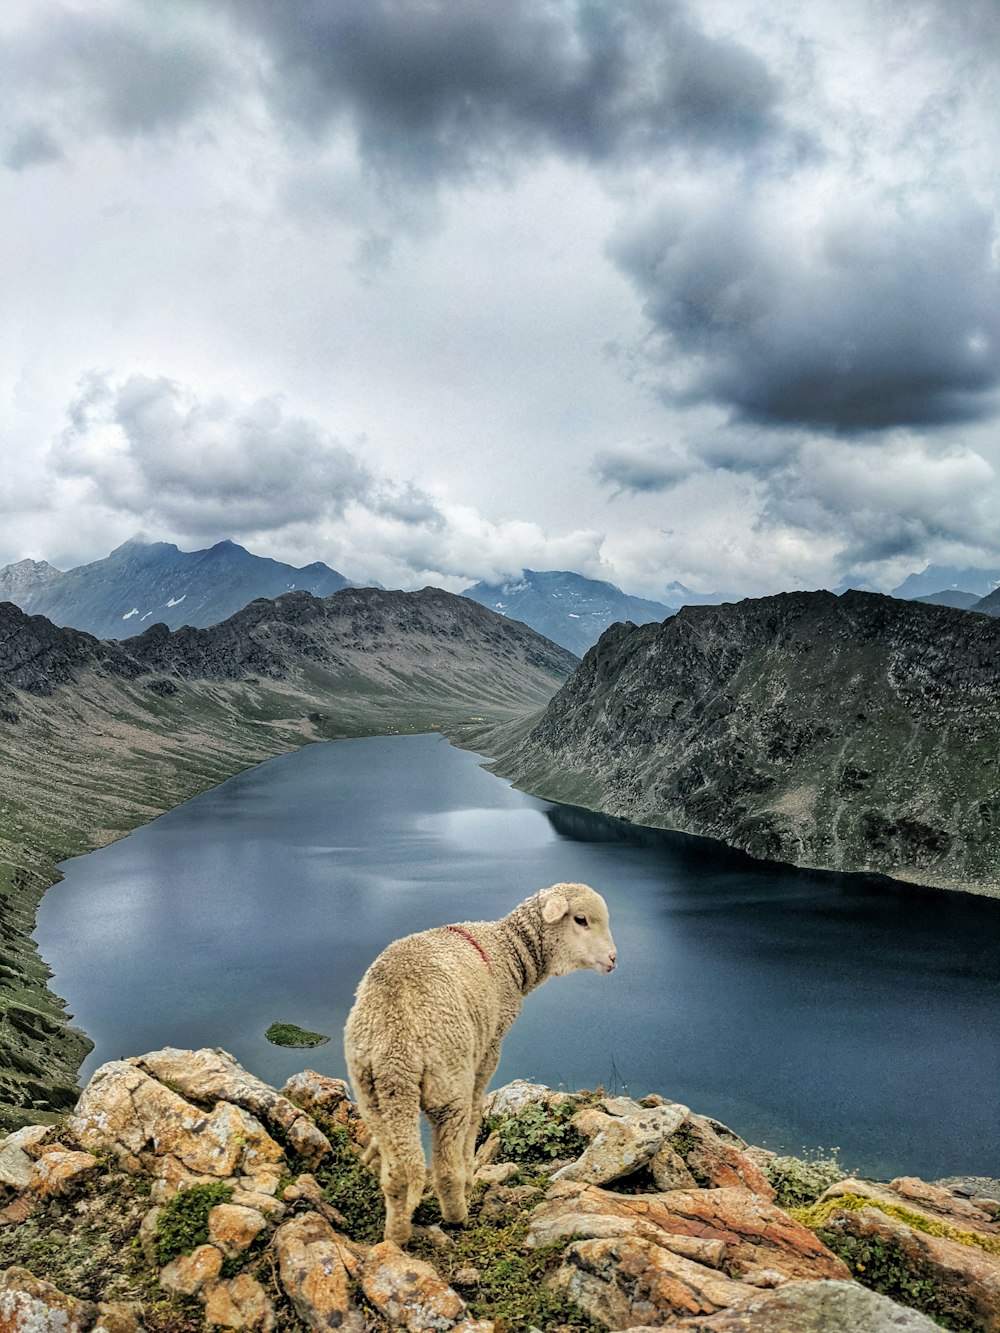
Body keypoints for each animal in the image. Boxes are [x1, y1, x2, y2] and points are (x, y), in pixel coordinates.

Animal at [349, 879, 624, 1242]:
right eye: (581, 920)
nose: (613, 959)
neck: (508, 950)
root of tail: (396, 1049)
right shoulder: (489, 1047)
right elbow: (479, 1106)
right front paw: (470, 1168)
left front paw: (369, 1154)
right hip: (448, 1081)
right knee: (445, 1165)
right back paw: (458, 1214)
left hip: (375, 1095)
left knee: (398, 1172)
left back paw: (396, 1234)